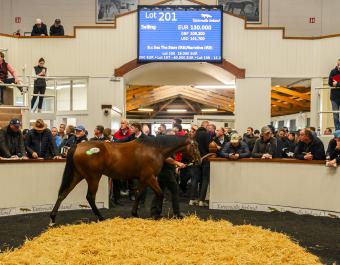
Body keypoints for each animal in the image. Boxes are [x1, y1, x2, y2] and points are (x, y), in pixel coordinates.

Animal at [49, 135, 201, 224]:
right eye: (195, 145)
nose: (199, 161)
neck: (155, 149)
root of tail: (77, 146)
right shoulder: (149, 177)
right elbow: (160, 193)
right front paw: (157, 214)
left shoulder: (143, 179)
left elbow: (139, 194)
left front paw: (135, 213)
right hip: (93, 177)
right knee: (90, 197)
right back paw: (101, 217)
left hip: (78, 175)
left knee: (63, 194)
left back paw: (52, 218)